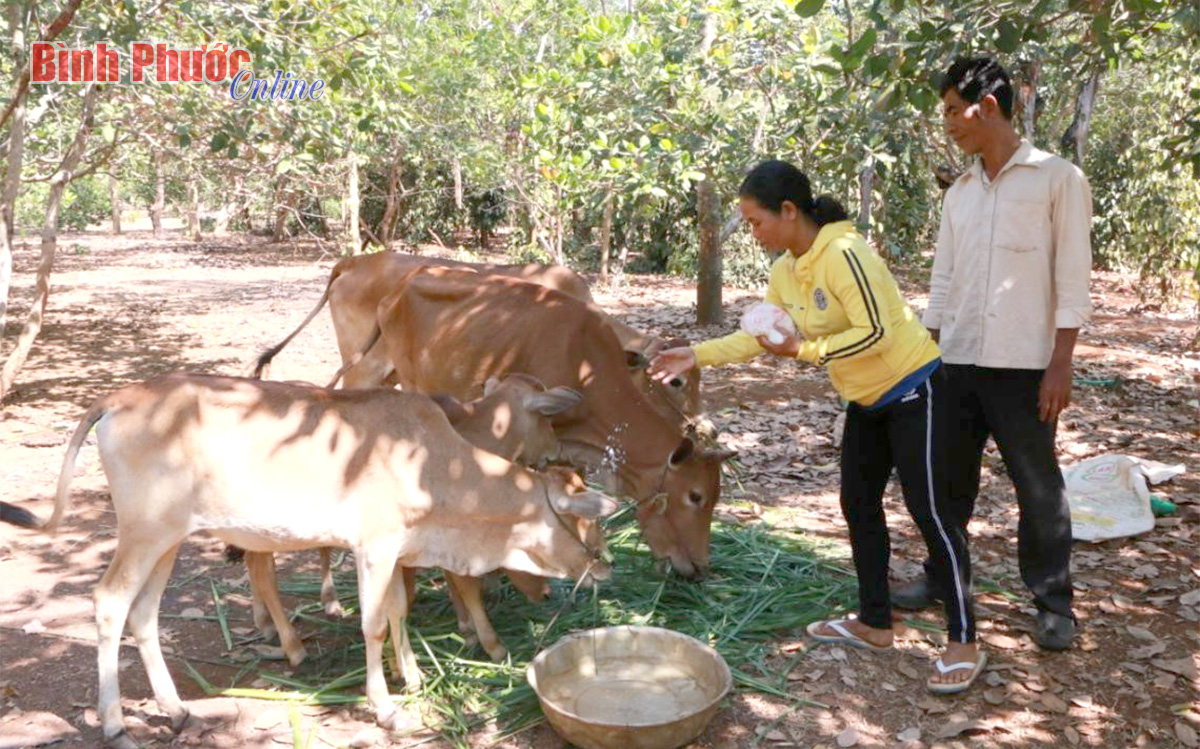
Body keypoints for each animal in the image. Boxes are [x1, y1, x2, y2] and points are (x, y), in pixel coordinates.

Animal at [44, 374, 619, 744]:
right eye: (585, 521)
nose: (607, 567)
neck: (437, 463)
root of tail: (116, 398)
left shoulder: (397, 551)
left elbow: (398, 611)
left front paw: (412, 677)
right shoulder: (376, 548)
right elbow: (374, 624)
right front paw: (387, 708)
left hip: (168, 538)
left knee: (143, 613)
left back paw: (178, 710)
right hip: (144, 532)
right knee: (109, 602)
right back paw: (115, 723)